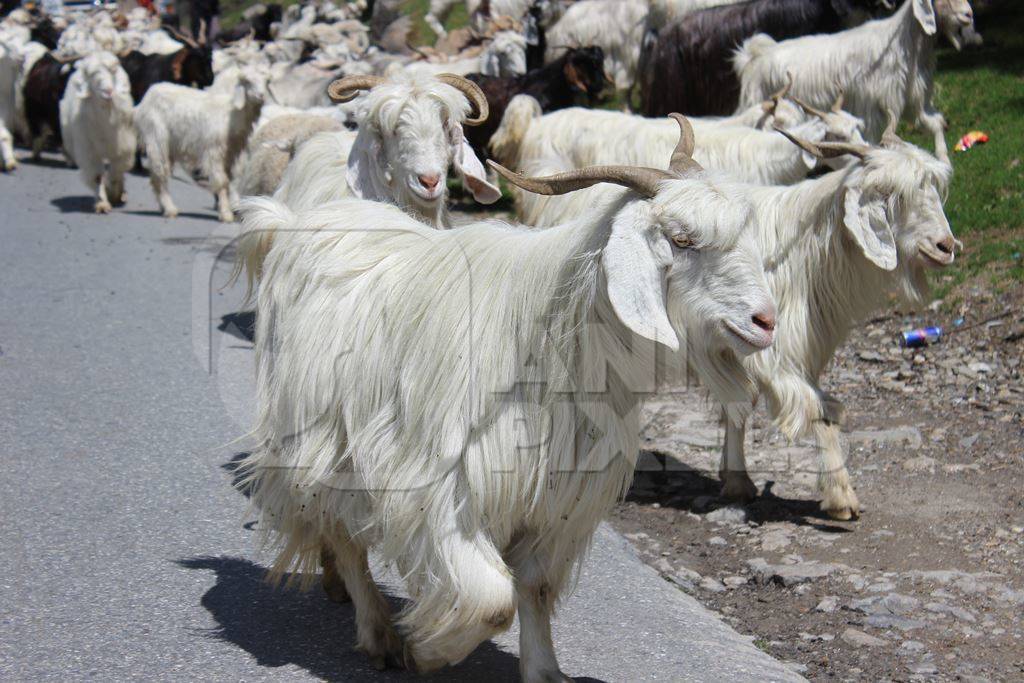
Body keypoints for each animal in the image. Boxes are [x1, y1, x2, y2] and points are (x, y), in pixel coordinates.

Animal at [58, 51, 136, 211]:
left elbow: (117, 170)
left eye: (113, 71)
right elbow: (96, 176)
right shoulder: (89, 153)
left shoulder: (124, 149)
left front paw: (114, 193)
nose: (108, 91)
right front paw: (102, 203)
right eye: (92, 75)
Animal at [720, 121, 958, 518]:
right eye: (891, 194)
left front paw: (735, 481)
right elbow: (819, 411)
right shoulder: (772, 353)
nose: (946, 247)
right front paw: (841, 497)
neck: (800, 253)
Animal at [737, 0, 974, 162]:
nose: (968, 15)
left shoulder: (914, 102)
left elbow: (936, 125)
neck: (902, 44)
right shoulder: (870, 110)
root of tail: (754, 58)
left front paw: (943, 163)